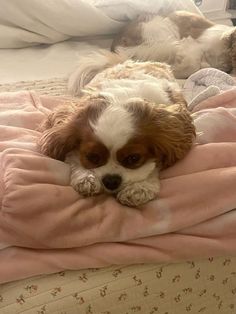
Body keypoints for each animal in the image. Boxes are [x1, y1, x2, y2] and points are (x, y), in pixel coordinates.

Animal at [38, 57, 195, 206]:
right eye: (92, 157)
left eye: (133, 158)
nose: (111, 180)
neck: (120, 100)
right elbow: (73, 156)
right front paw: (86, 177)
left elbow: (154, 165)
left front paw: (140, 187)